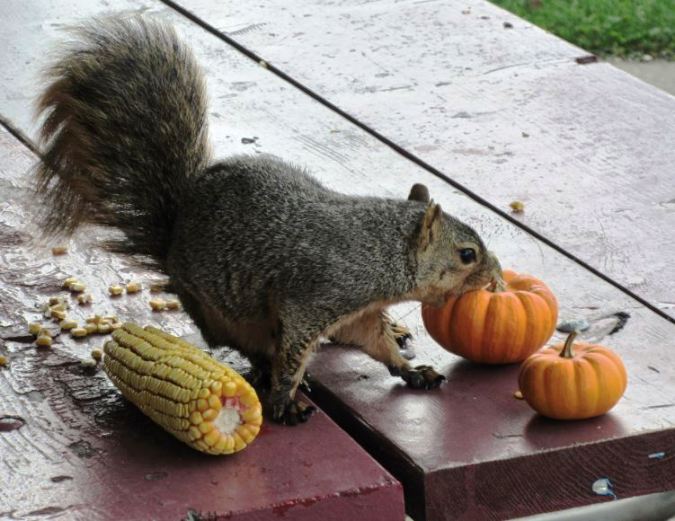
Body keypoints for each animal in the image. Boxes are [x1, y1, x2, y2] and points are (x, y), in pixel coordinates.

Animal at [34, 17, 502, 425]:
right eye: (466, 254)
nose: (497, 279)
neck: (377, 247)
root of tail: (174, 237)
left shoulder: (358, 313)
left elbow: (376, 341)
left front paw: (410, 369)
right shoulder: (315, 298)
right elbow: (293, 356)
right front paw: (284, 400)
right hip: (227, 316)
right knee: (253, 348)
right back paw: (272, 374)